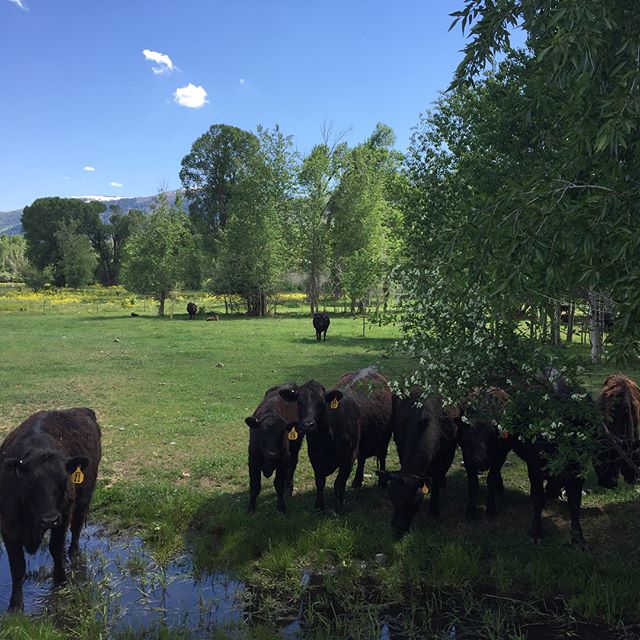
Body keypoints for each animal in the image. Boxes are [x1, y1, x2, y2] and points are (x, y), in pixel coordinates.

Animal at [0, 408, 101, 611]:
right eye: (30, 484)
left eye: (64, 483)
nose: (49, 519)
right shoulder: (7, 526)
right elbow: (17, 566)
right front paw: (15, 605)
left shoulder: (63, 516)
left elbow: (55, 548)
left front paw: (60, 580)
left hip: (83, 500)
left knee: (76, 528)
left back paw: (73, 552)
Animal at [246, 384, 302, 514]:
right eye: (262, 432)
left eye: (282, 433)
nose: (272, 454)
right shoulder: (253, 461)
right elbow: (255, 486)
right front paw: (251, 509)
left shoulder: (283, 462)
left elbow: (279, 485)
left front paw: (281, 508)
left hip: (295, 447)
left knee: (292, 465)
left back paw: (288, 489)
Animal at [280, 366, 393, 513]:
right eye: (299, 402)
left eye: (321, 403)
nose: (308, 425)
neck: (325, 440)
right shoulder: (315, 456)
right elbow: (320, 482)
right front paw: (318, 506)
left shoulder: (348, 458)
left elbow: (338, 484)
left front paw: (338, 509)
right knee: (362, 458)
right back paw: (357, 481)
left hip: (385, 436)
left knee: (382, 457)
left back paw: (382, 483)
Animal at [376, 392, 457, 537]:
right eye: (392, 498)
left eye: (412, 502)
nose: (397, 527)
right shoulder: (401, 444)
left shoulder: (446, 455)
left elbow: (436, 482)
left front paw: (434, 510)